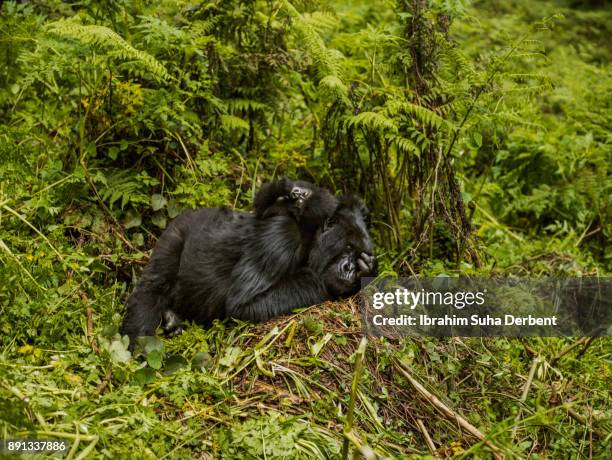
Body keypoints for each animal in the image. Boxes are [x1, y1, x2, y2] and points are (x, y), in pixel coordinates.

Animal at [120, 178, 378, 344]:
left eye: (359, 254)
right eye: (348, 247)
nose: (349, 269)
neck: (309, 235)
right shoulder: (281, 237)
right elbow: (242, 305)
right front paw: (331, 282)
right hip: (178, 229)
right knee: (152, 287)